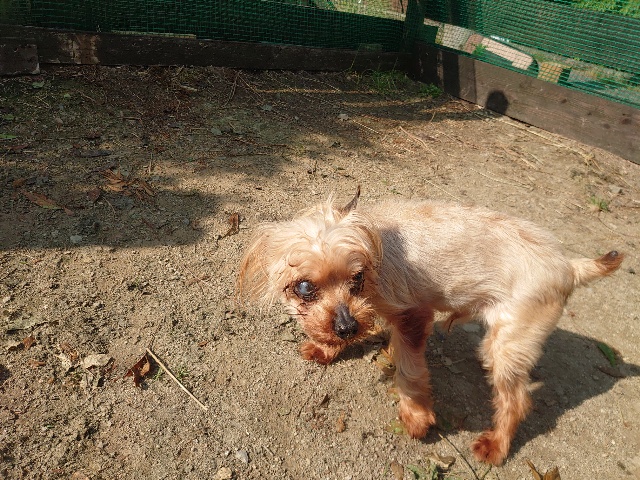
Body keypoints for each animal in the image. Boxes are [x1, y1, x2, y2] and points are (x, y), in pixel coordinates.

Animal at [237, 187, 623, 465]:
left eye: (357, 278)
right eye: (304, 288)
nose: (347, 329)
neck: (371, 239)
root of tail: (569, 266)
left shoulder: (413, 314)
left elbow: (410, 370)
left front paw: (417, 416)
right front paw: (327, 346)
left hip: (509, 340)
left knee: (515, 401)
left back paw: (495, 447)